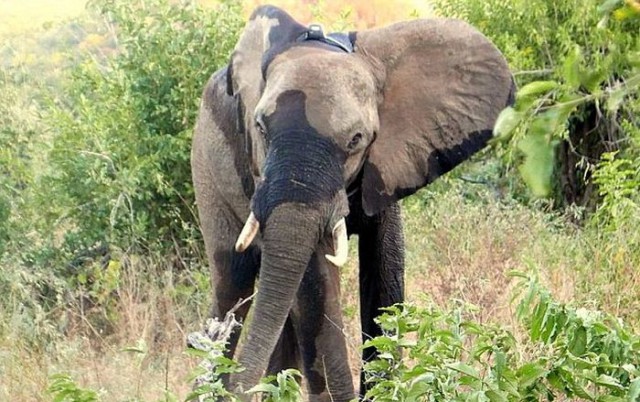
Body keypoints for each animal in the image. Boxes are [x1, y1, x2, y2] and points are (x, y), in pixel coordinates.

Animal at [191, 4, 516, 400]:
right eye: (261, 129)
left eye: (356, 140)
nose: (242, 387)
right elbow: (316, 285)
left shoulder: (389, 162)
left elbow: (384, 269)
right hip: (206, 160)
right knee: (233, 282)